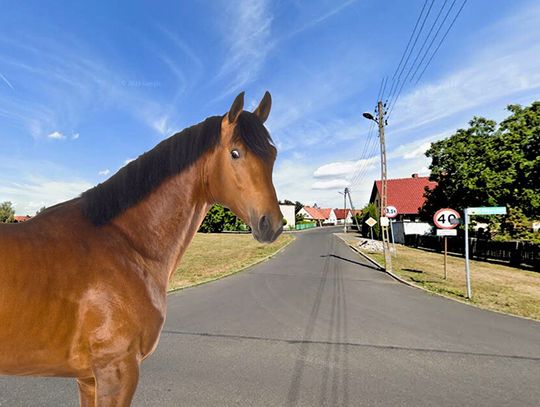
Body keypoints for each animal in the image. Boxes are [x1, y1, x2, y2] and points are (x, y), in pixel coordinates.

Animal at [0, 91, 280, 406]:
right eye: (235, 153)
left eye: (273, 154)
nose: (272, 223)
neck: (127, 245)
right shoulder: (116, 372)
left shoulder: (88, 379)